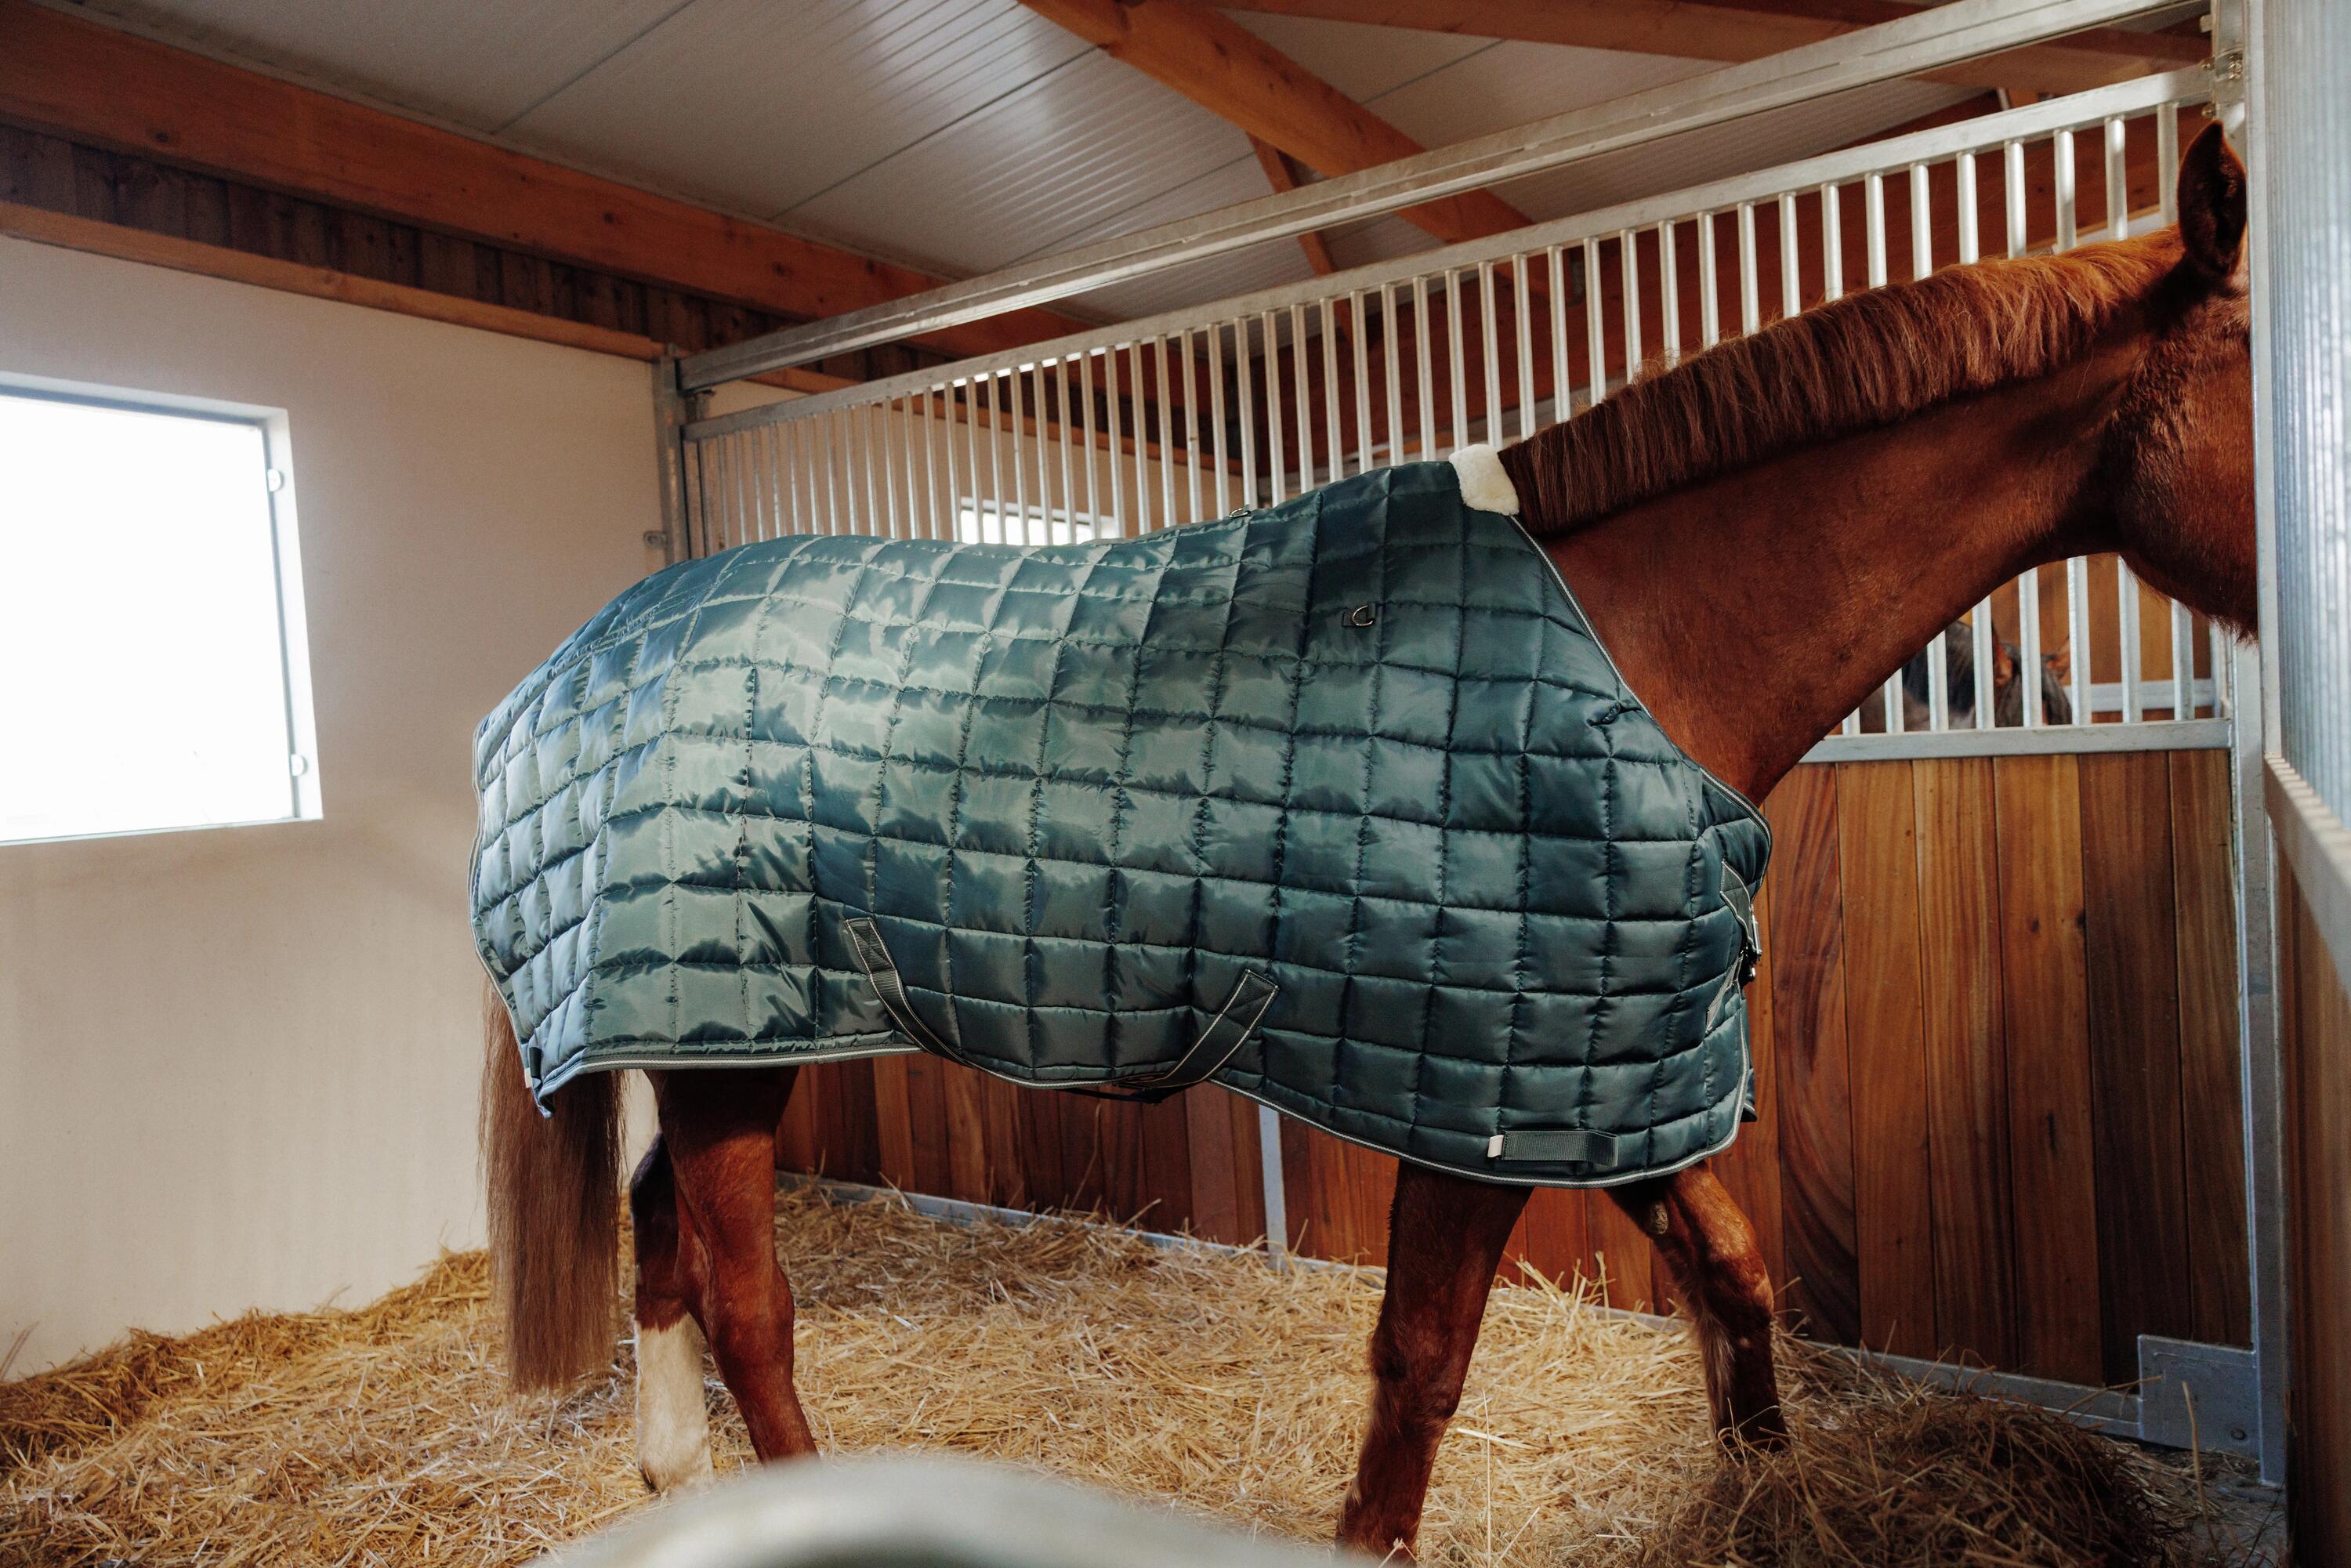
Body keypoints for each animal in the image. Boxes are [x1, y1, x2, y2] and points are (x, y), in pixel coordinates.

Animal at [478, 125, 2255, 1559]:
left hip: (705, 1038)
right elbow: (1422, 1368)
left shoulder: (1614, 1078)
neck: (1627, 647)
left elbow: (1737, 1279)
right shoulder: (1477, 1105)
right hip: (732, 1037)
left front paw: (1767, 1497)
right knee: (748, 1301)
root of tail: (571, 660)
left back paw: (676, 1474)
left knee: (660, 1235)